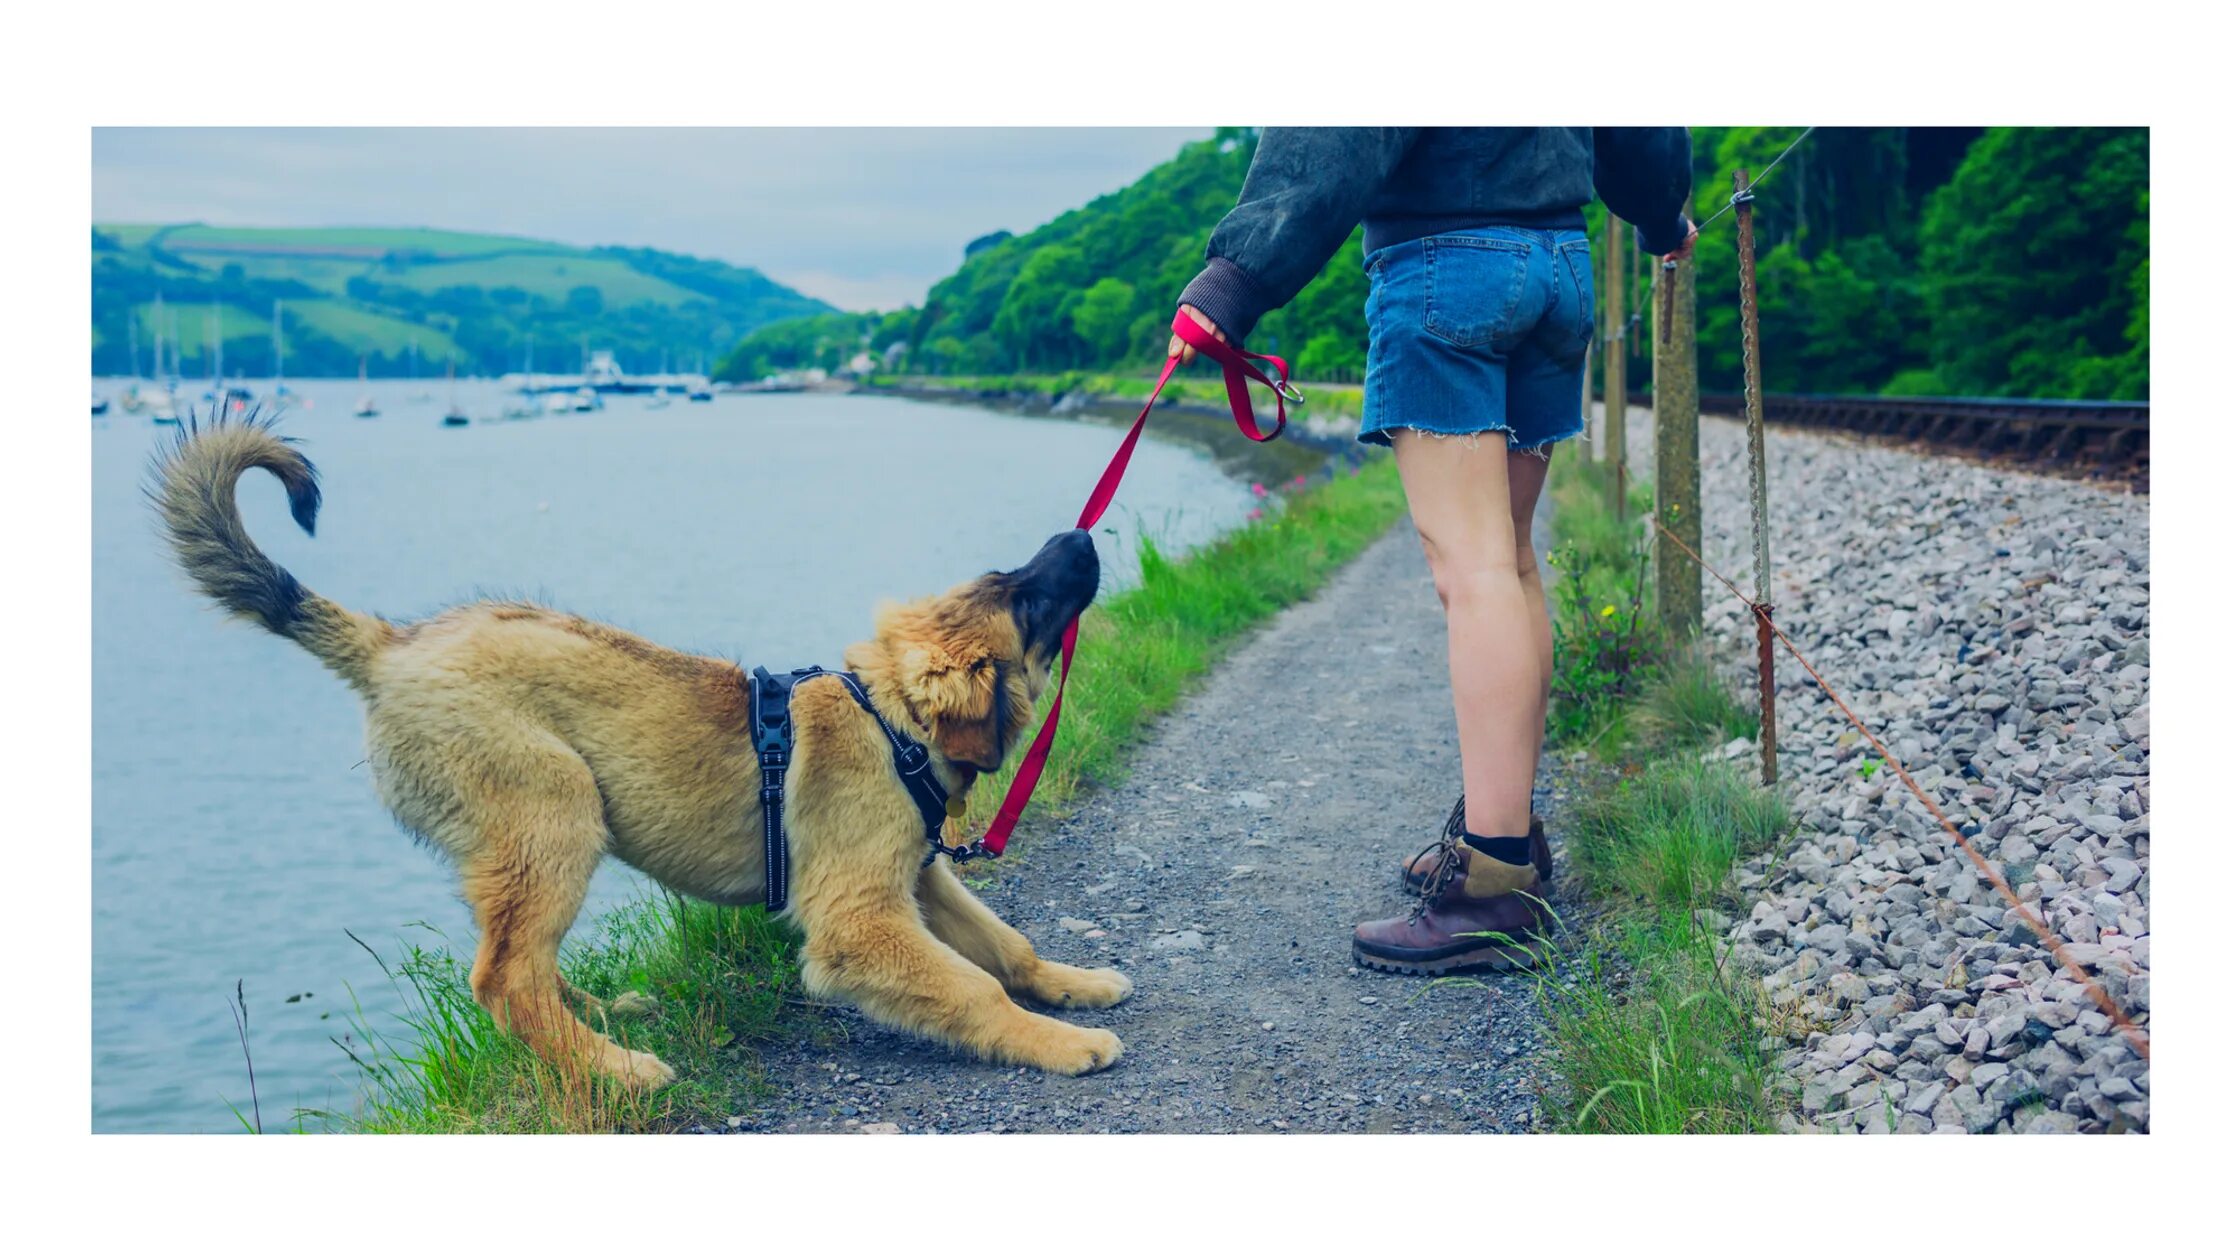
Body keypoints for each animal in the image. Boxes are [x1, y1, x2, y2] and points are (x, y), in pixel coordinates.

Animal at [155, 417, 1128, 1085]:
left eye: (1009, 579)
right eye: (1026, 599)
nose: (1080, 536)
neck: (891, 723)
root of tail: (389, 646)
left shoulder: (919, 879)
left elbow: (1006, 947)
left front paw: (1072, 986)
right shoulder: (859, 919)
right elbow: (974, 987)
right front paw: (1062, 1042)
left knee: (523, 966)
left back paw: (607, 1019)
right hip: (553, 809)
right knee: (503, 979)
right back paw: (614, 1070)